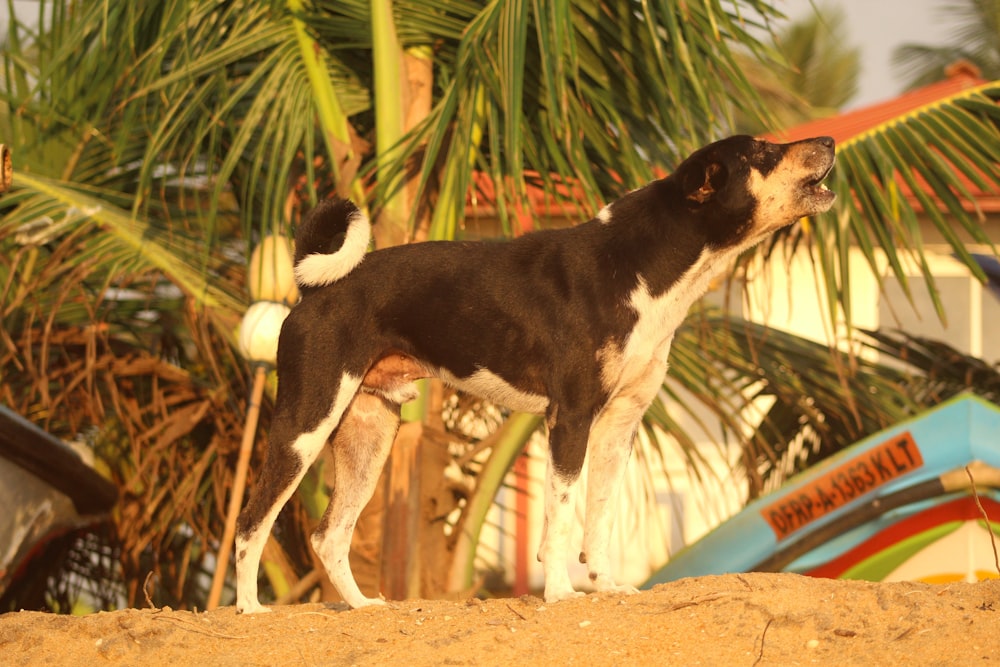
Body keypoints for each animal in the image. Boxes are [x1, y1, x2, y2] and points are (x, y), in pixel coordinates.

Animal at [234, 133, 836, 612]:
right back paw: (249, 610)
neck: (638, 266)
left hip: (369, 432)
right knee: (250, 524)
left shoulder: (619, 424)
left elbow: (598, 516)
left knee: (330, 535)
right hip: (305, 426)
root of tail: (313, 289)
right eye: (761, 152)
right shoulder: (570, 417)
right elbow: (562, 516)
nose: (829, 139)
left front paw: (606, 587)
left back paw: (362, 607)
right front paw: (560, 595)